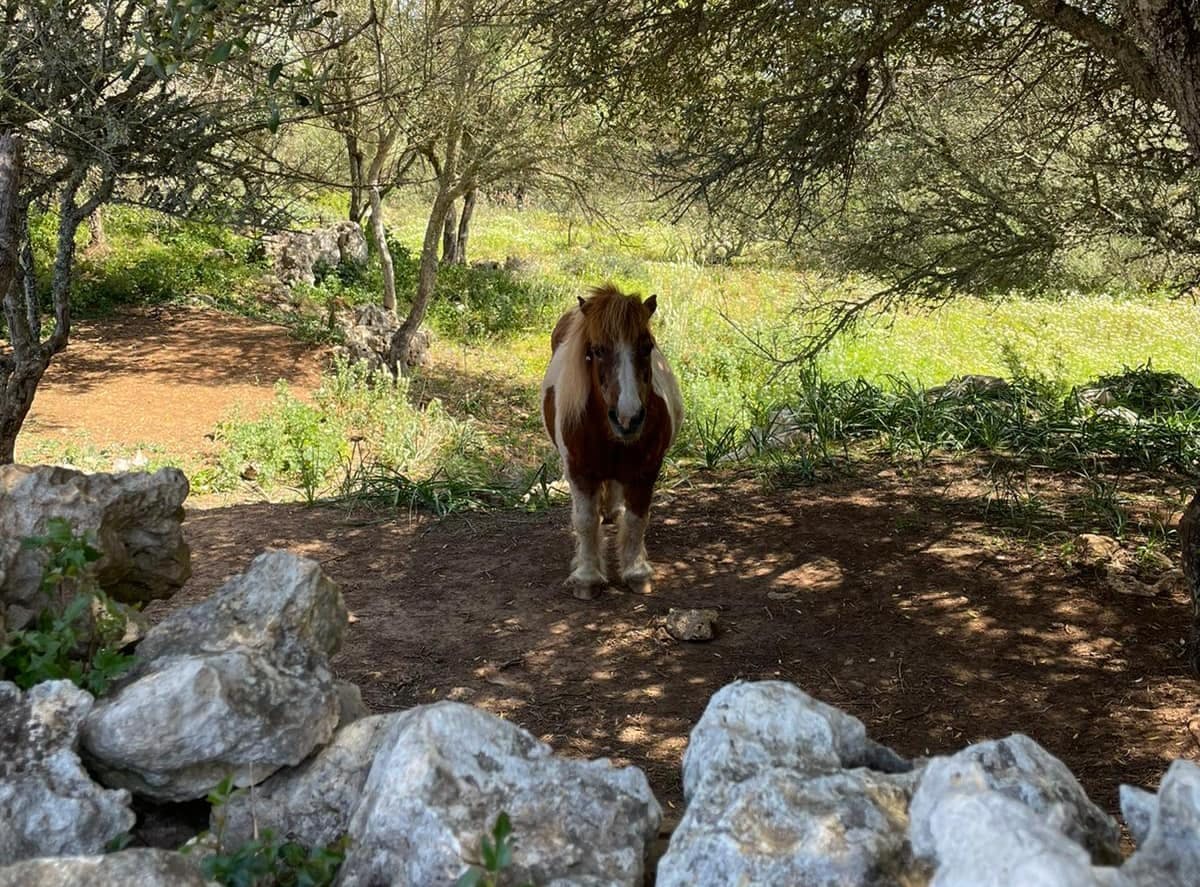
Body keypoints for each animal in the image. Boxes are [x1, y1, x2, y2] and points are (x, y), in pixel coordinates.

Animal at [540, 284, 684, 598]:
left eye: (647, 346)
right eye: (596, 350)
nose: (628, 417)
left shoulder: (646, 472)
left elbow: (636, 519)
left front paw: (636, 572)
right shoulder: (579, 471)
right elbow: (585, 520)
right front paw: (587, 577)